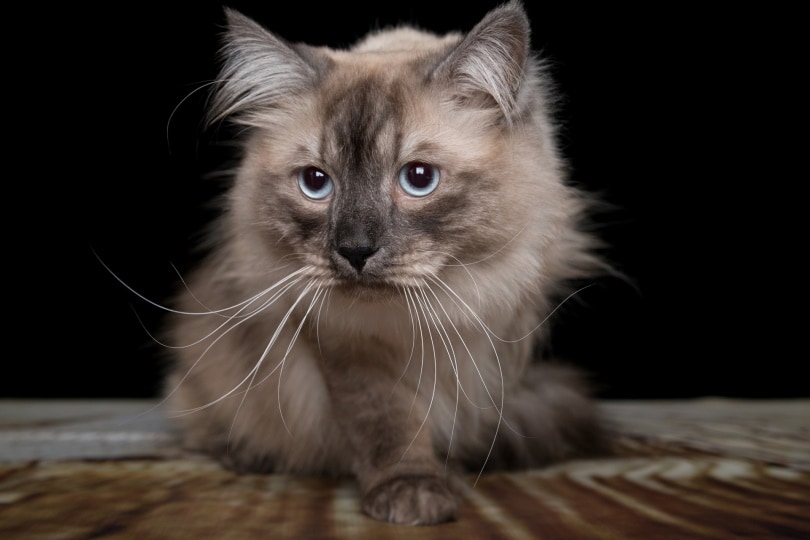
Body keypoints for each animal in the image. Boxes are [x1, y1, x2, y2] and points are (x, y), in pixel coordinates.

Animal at [161, 0, 608, 524]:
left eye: (419, 178)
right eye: (316, 183)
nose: (355, 250)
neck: (414, 317)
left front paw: (445, 477)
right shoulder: (343, 346)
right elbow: (386, 423)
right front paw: (411, 491)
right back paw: (246, 453)